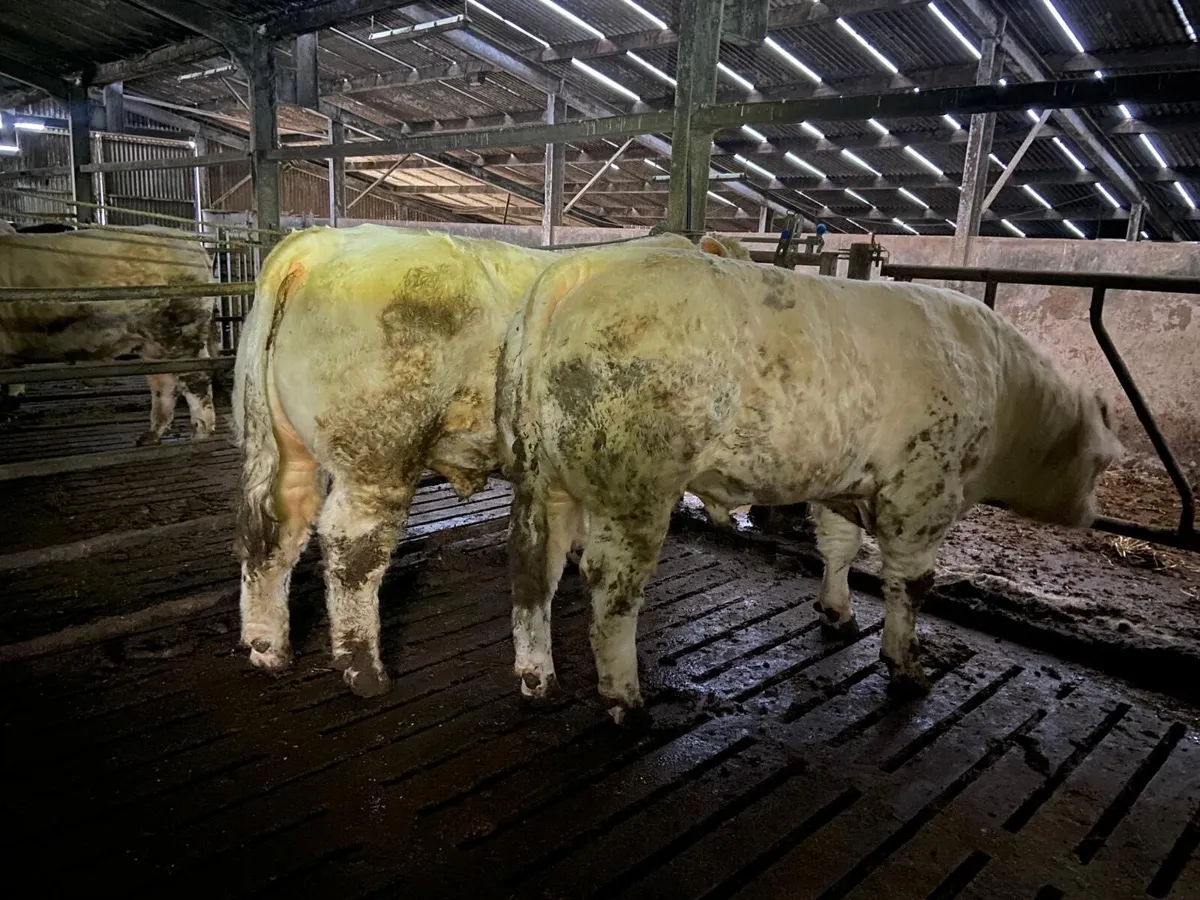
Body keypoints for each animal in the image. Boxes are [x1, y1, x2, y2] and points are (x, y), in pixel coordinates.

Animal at [0, 225, 219, 443]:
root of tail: (192, 244)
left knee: (195, 377)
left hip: (181, 330)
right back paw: (148, 437)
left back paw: (199, 434)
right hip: (154, 343)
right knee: (163, 382)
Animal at [233, 223, 744, 697]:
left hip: (287, 449)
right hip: (378, 455)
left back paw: (268, 649)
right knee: (352, 548)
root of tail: (325, 242)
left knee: (279, 529)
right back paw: (365, 672)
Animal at [497, 237, 1122, 722]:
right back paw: (624, 697)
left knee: (535, 569)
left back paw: (536, 677)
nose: (1094, 516)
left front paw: (838, 612)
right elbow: (912, 582)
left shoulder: (842, 484)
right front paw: (905, 664)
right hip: (635, 486)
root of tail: (584, 266)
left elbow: (840, 548)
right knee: (610, 586)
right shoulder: (923, 489)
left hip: (543, 478)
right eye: (1102, 463)